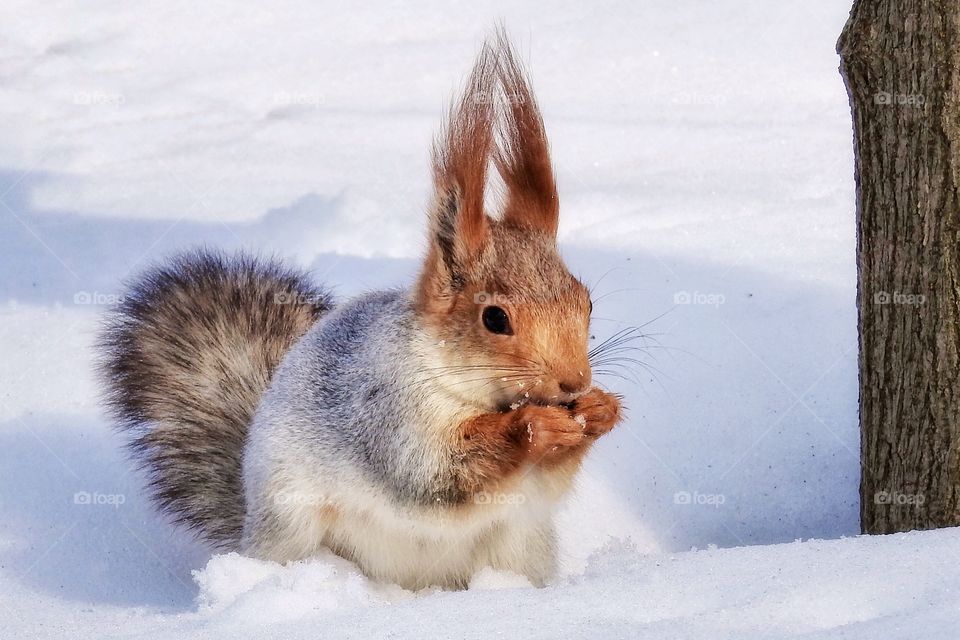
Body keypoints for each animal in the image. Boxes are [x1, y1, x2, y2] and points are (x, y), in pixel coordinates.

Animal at [99, 31, 624, 592]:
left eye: (586, 301)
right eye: (495, 319)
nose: (574, 382)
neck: (477, 395)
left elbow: (547, 485)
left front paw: (599, 411)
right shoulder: (385, 412)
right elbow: (435, 474)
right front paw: (534, 426)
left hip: (519, 545)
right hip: (292, 520)